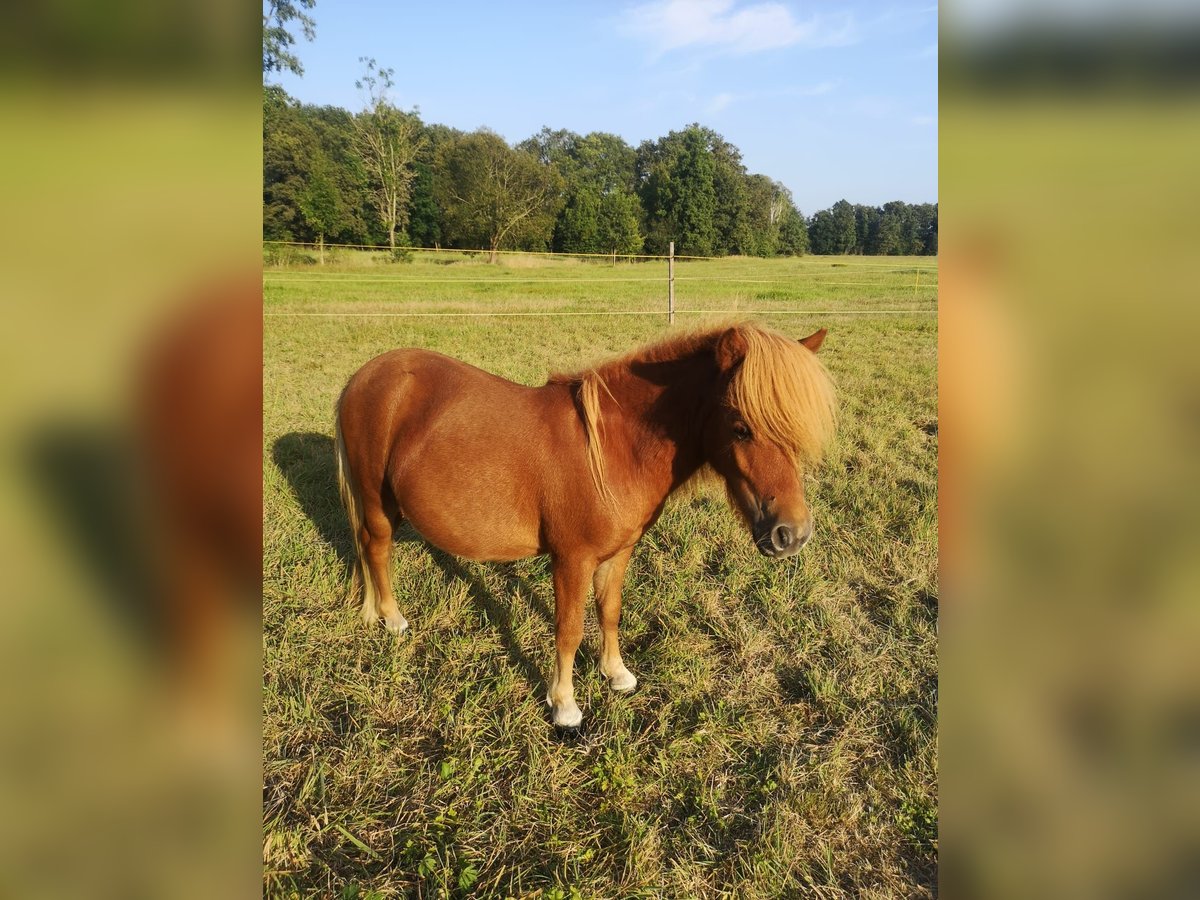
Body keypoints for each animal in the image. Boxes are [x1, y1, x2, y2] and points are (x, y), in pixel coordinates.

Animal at [333, 321, 830, 729]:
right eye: (741, 426)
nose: (792, 535)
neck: (613, 449)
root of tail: (365, 377)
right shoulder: (571, 560)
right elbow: (569, 629)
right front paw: (565, 706)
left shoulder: (618, 552)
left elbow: (609, 612)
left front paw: (616, 673)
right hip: (376, 504)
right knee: (376, 548)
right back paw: (393, 620)